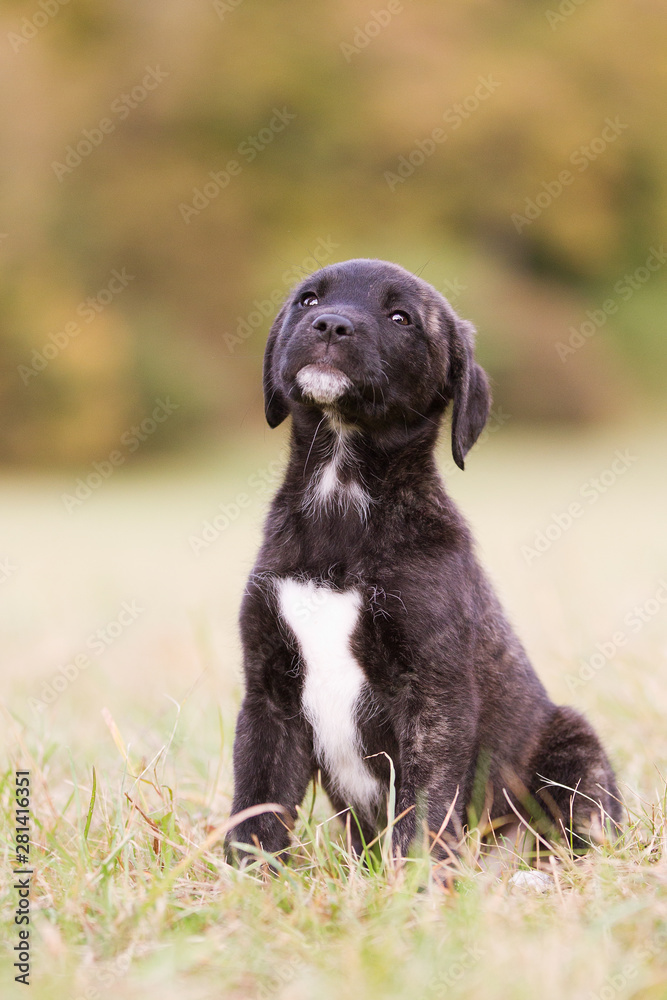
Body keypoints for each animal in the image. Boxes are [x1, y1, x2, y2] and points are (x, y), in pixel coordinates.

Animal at [227, 260, 624, 868]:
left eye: (401, 318)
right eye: (308, 299)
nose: (330, 324)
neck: (341, 495)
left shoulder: (433, 698)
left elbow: (423, 808)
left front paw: (414, 882)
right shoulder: (269, 695)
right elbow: (257, 809)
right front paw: (243, 881)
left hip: (574, 749)